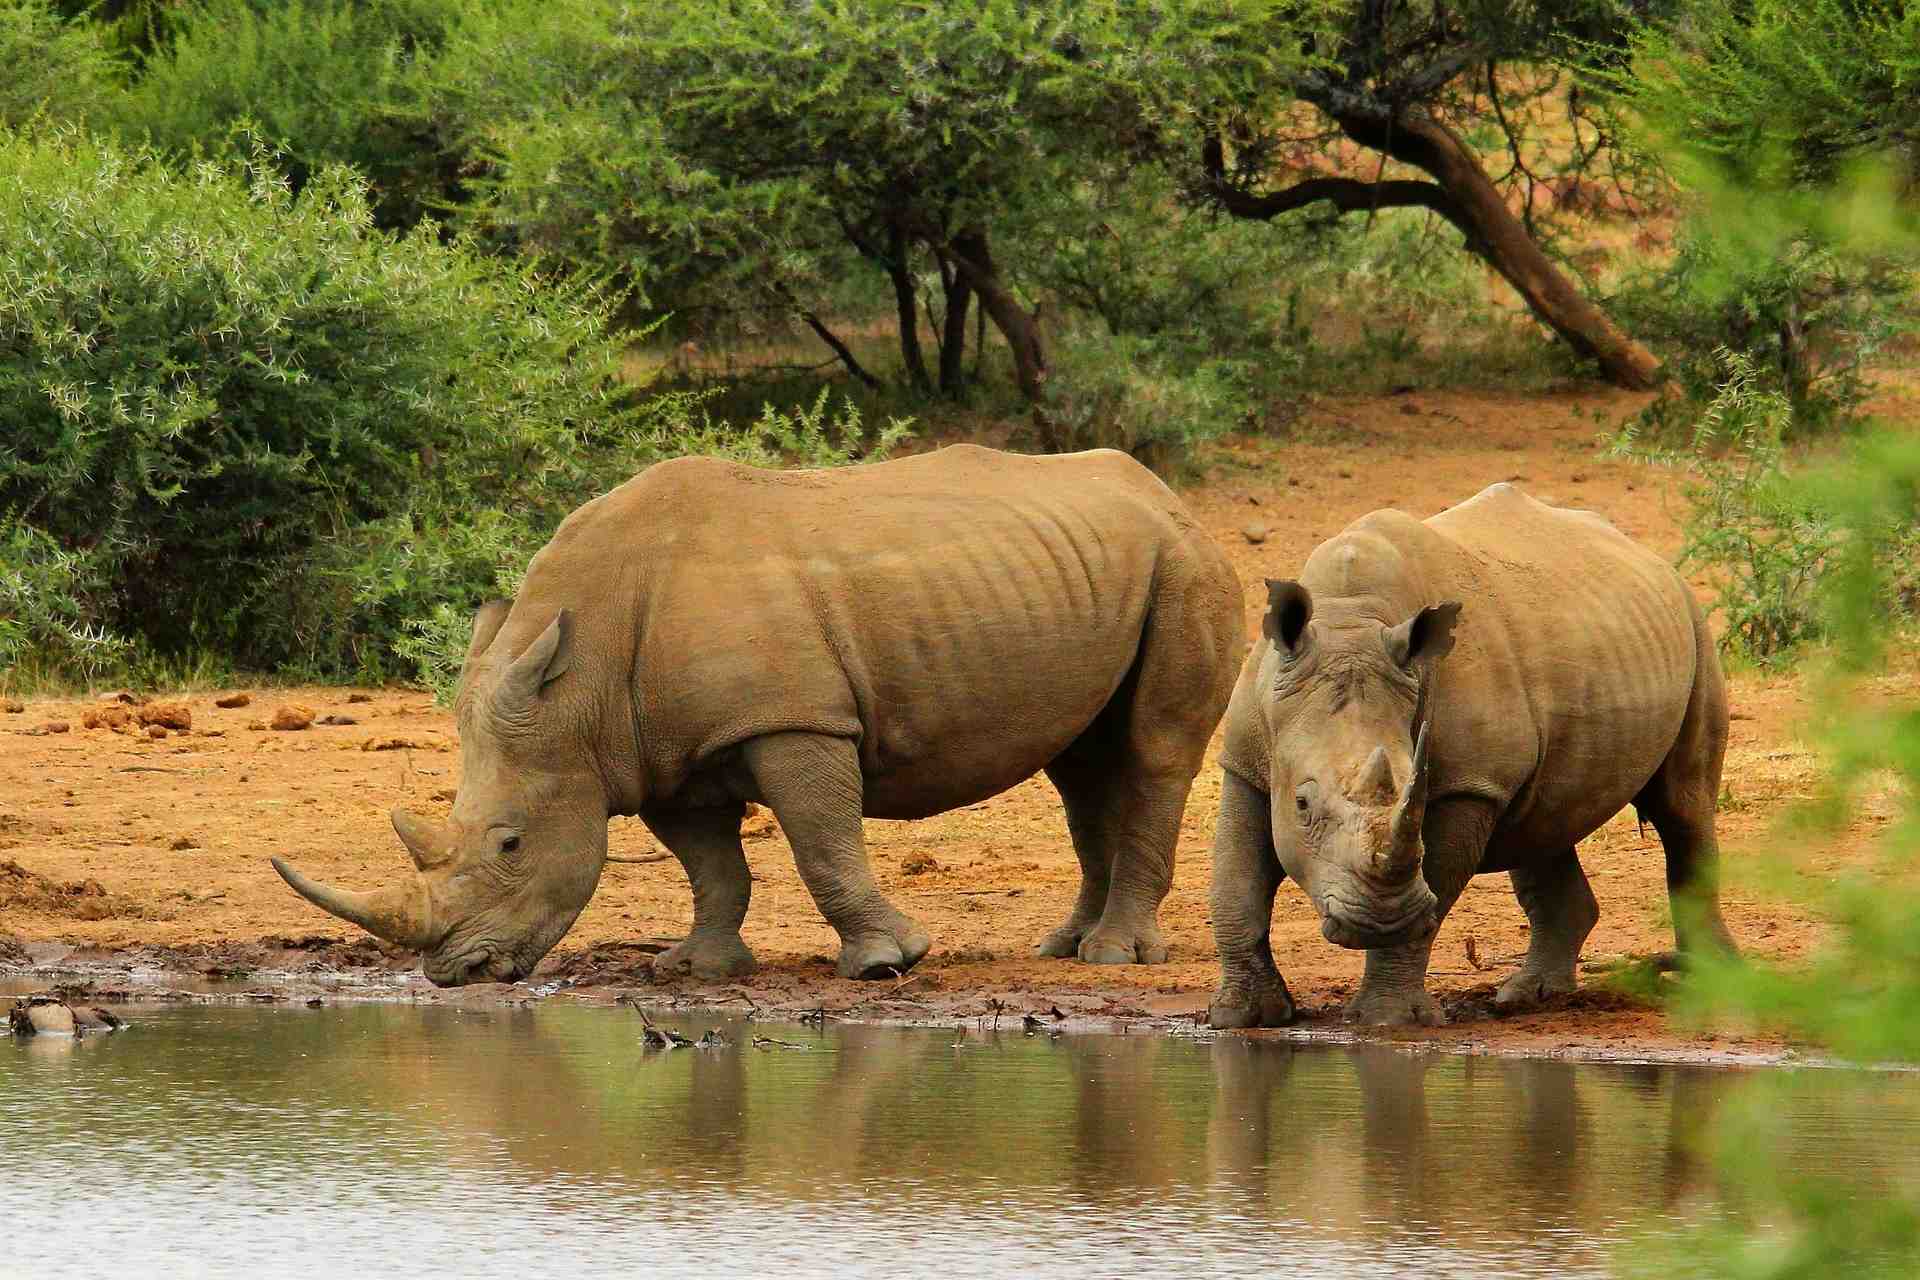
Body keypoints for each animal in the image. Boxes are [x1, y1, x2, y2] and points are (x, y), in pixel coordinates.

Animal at [272, 444, 1243, 985]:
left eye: (510, 845)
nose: (452, 975)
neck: (579, 686)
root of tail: (1169, 496)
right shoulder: (653, 750)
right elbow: (711, 866)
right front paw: (694, 970)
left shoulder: (793, 719)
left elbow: (821, 843)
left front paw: (886, 964)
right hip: (1094, 567)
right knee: (1080, 763)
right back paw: (1062, 948)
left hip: (1185, 563)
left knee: (1152, 750)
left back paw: (1113, 958)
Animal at [1206, 482, 1736, 1028]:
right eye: (1303, 805)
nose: (1380, 922)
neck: (1348, 621)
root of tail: (1652, 559)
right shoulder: (1247, 760)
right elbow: (1235, 881)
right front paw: (1245, 1016)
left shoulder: (1467, 785)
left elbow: (1435, 889)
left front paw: (1387, 1021)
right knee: (1543, 825)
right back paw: (1530, 996)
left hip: (1695, 627)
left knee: (1682, 808)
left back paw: (1710, 983)